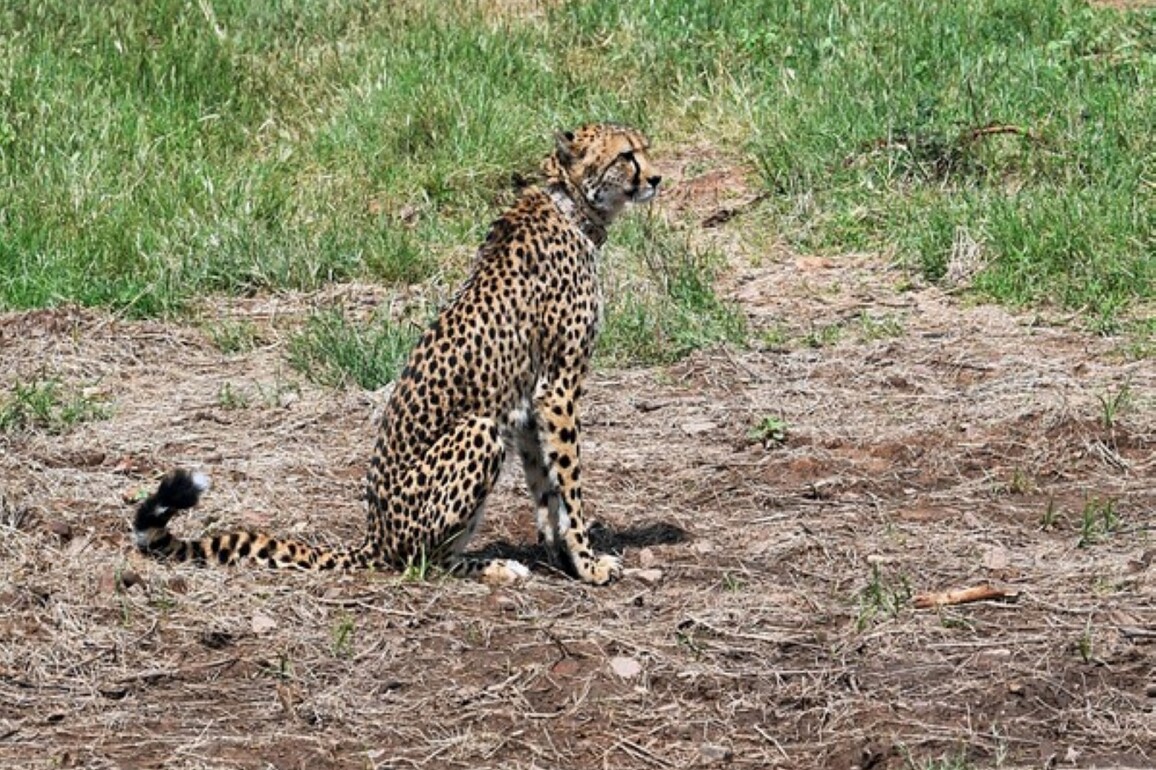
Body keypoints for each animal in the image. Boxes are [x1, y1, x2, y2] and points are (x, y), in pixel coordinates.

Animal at [133, 123, 661, 585]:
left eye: (645, 148)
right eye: (626, 155)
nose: (656, 178)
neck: (570, 205)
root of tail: (374, 536)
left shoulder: (531, 402)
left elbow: (546, 486)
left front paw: (560, 555)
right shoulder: (558, 388)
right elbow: (569, 484)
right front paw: (588, 564)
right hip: (478, 431)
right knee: (421, 560)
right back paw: (492, 567)